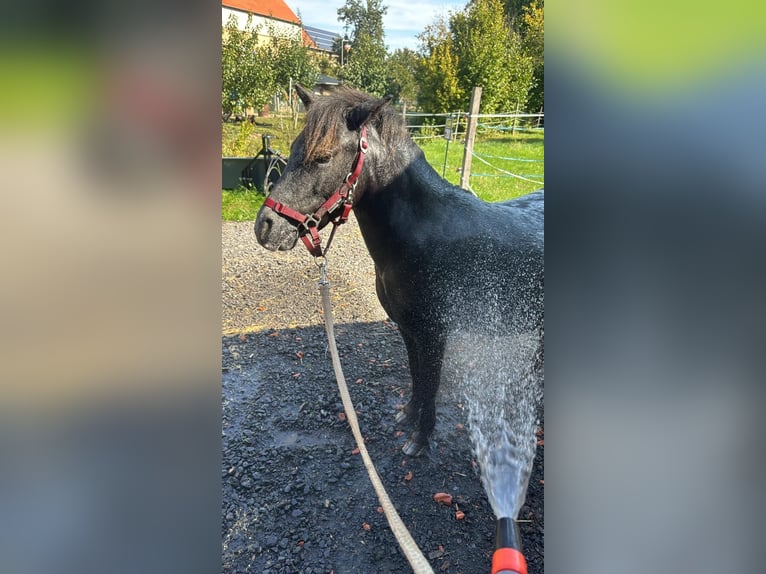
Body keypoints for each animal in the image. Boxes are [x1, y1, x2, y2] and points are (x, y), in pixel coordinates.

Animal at [255, 85, 544, 456]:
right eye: (291, 150)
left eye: (323, 157)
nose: (264, 227)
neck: (424, 232)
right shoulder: (408, 330)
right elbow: (416, 375)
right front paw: (408, 416)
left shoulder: (434, 334)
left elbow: (431, 382)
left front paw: (420, 438)